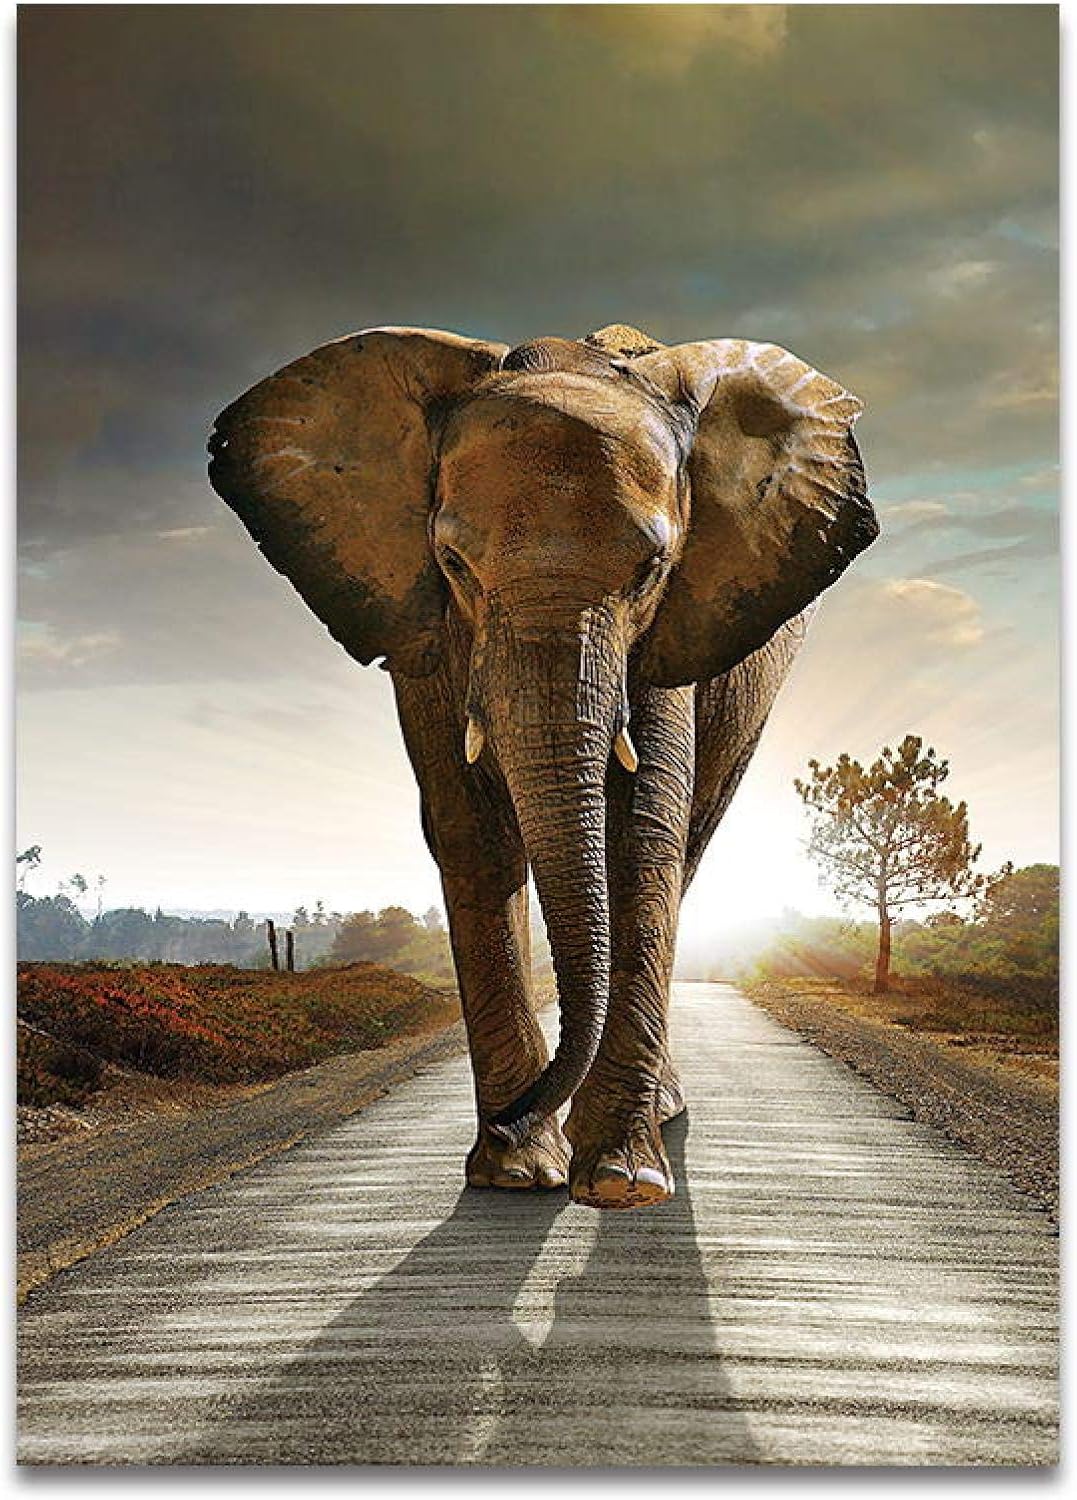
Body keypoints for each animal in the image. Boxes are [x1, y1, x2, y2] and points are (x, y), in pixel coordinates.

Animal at [208, 322, 877, 1211]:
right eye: (453, 563)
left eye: (650, 571)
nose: (513, 1117)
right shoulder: (424, 630)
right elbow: (470, 830)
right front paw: (516, 1173)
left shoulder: (669, 633)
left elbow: (641, 832)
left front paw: (619, 1181)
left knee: (690, 842)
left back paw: (657, 1115)